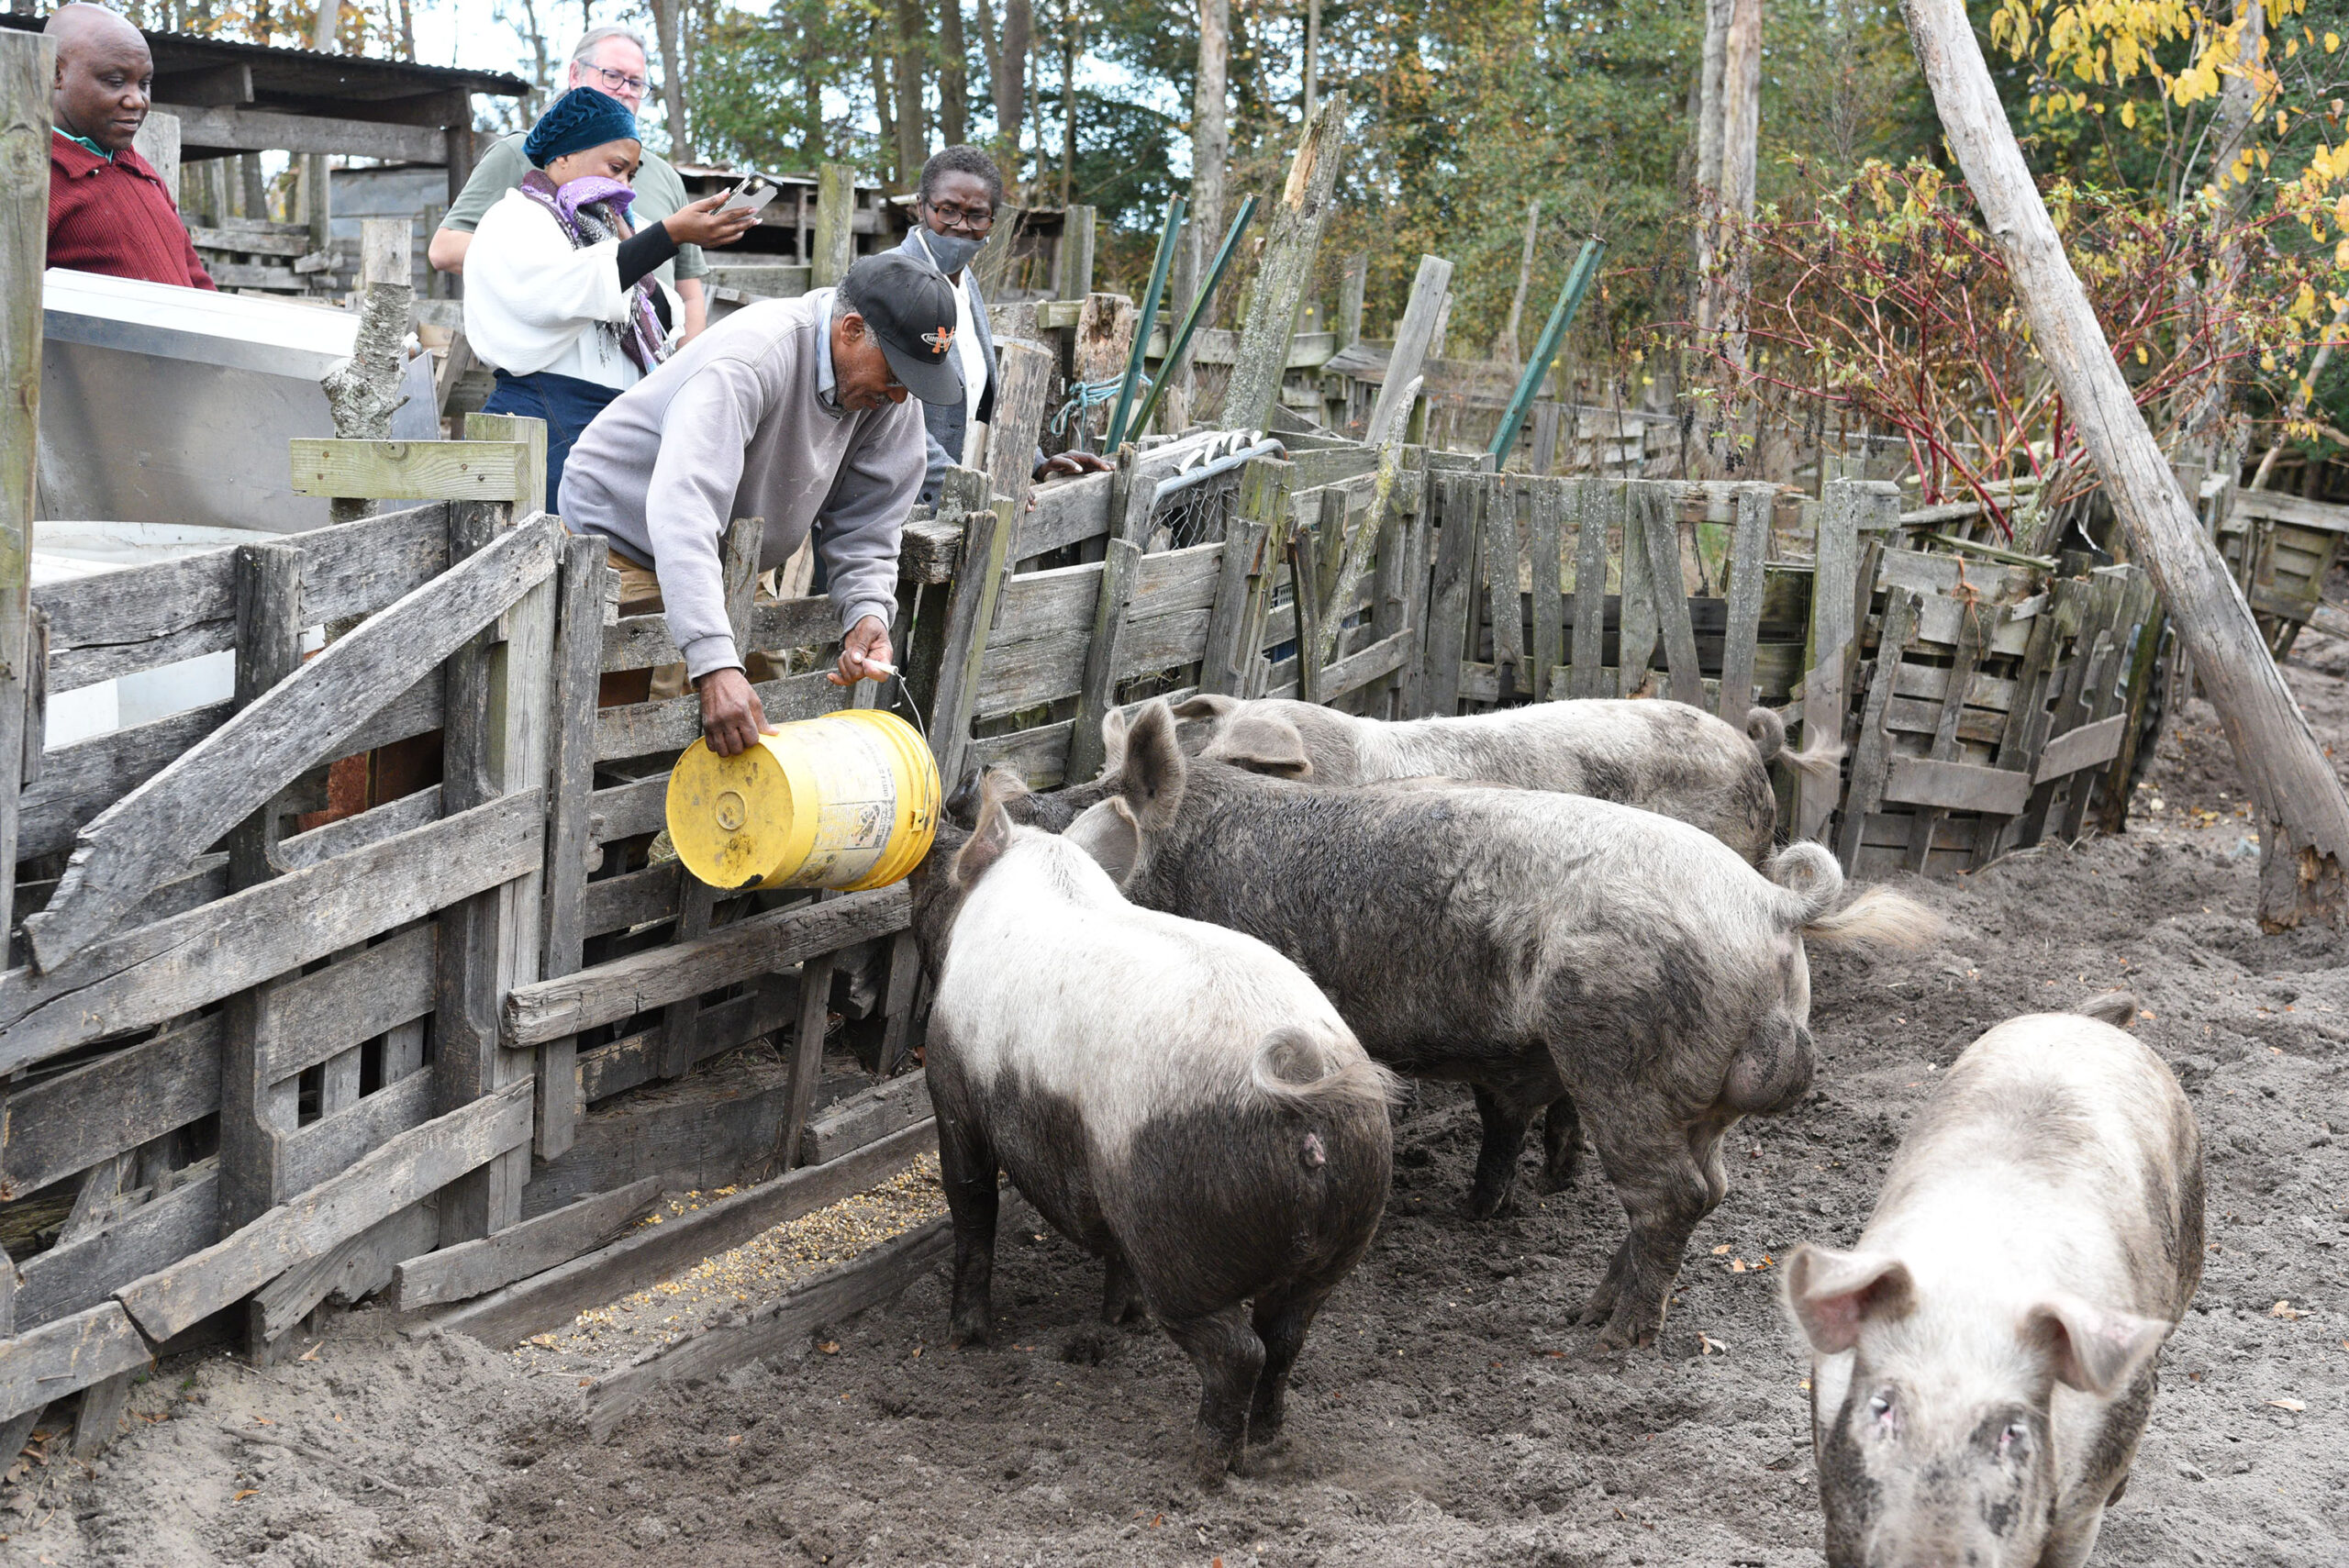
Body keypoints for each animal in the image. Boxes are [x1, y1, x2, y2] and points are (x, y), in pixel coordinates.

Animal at [908, 771, 1401, 1483]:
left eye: (952, 863)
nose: (927, 846)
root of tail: (1303, 1093)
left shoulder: (953, 1083)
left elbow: (972, 1202)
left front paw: (964, 1340)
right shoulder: (1098, 1162)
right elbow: (1113, 1252)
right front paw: (1119, 1321)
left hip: (1176, 1231)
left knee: (1238, 1352)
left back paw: (1204, 1466)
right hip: (1343, 1226)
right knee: (1285, 1337)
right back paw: (1270, 1444)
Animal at [1062, 699, 1937, 1348]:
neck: (1198, 850)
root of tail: (1770, 903)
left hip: (1620, 1057)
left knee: (1672, 1196)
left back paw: (1612, 1340)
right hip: (1700, 1095)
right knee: (1705, 1188)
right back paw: (1586, 1311)